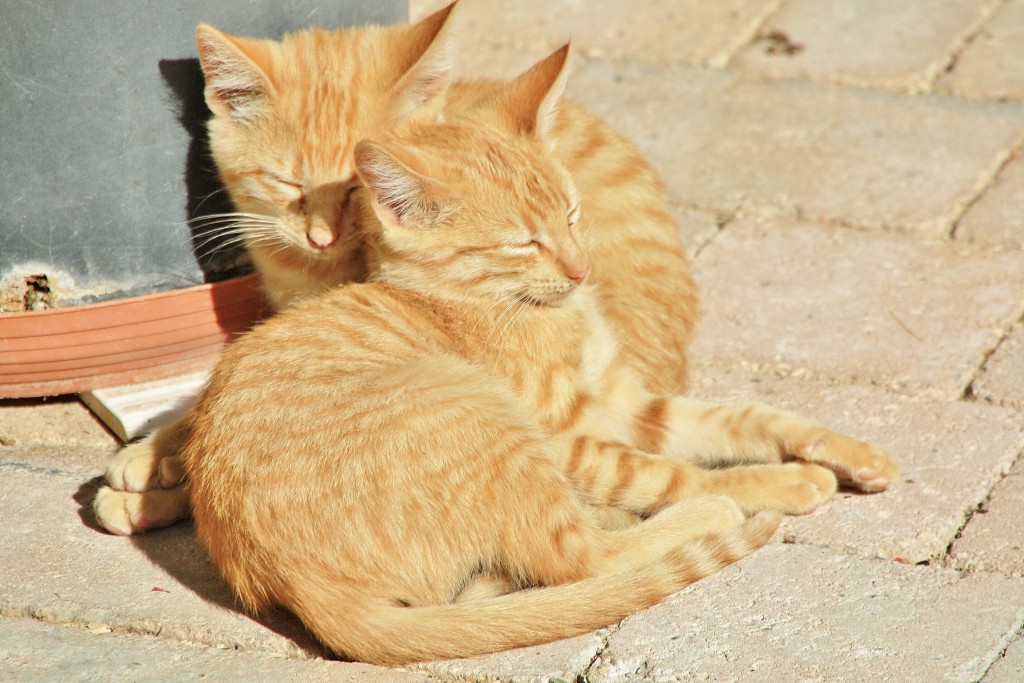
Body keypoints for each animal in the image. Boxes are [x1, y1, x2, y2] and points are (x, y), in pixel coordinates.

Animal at [182, 45, 897, 663]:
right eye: (524, 243)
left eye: (573, 215)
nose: (583, 271)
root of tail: (297, 587)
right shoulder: (568, 436)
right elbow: (667, 471)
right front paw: (776, 481)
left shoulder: (624, 402)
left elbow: (741, 418)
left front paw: (850, 453)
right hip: (480, 415)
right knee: (581, 560)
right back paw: (699, 516)